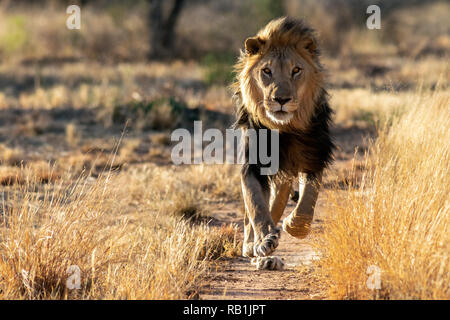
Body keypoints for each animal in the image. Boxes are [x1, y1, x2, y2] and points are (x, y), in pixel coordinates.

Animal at [232, 17, 334, 262]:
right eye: (266, 71)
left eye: (296, 70)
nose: (281, 99)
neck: (284, 129)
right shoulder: (252, 164)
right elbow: (256, 206)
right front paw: (264, 241)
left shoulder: (313, 155)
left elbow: (308, 199)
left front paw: (294, 226)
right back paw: (252, 244)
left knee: (280, 197)